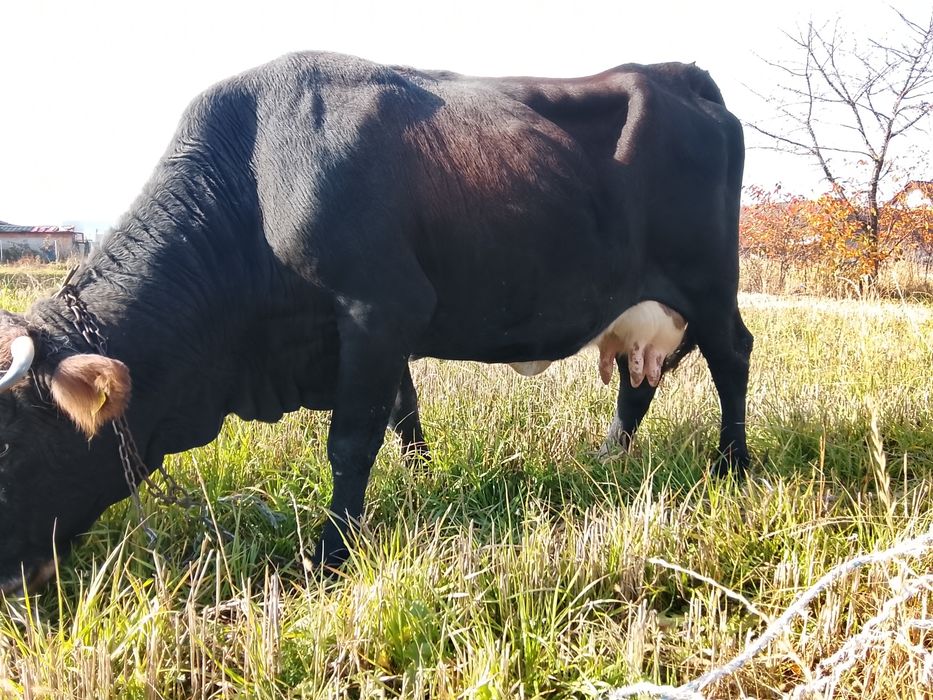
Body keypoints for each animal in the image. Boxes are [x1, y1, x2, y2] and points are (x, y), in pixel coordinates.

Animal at [0, 51, 751, 593]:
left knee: (733, 356)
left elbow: (351, 441)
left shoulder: (378, 309)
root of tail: (680, 74)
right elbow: (402, 414)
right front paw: (420, 480)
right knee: (638, 383)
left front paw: (331, 554)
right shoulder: (375, 334)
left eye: (7, 448)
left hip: (708, 283)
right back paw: (608, 456)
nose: (9, 584)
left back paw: (732, 466)